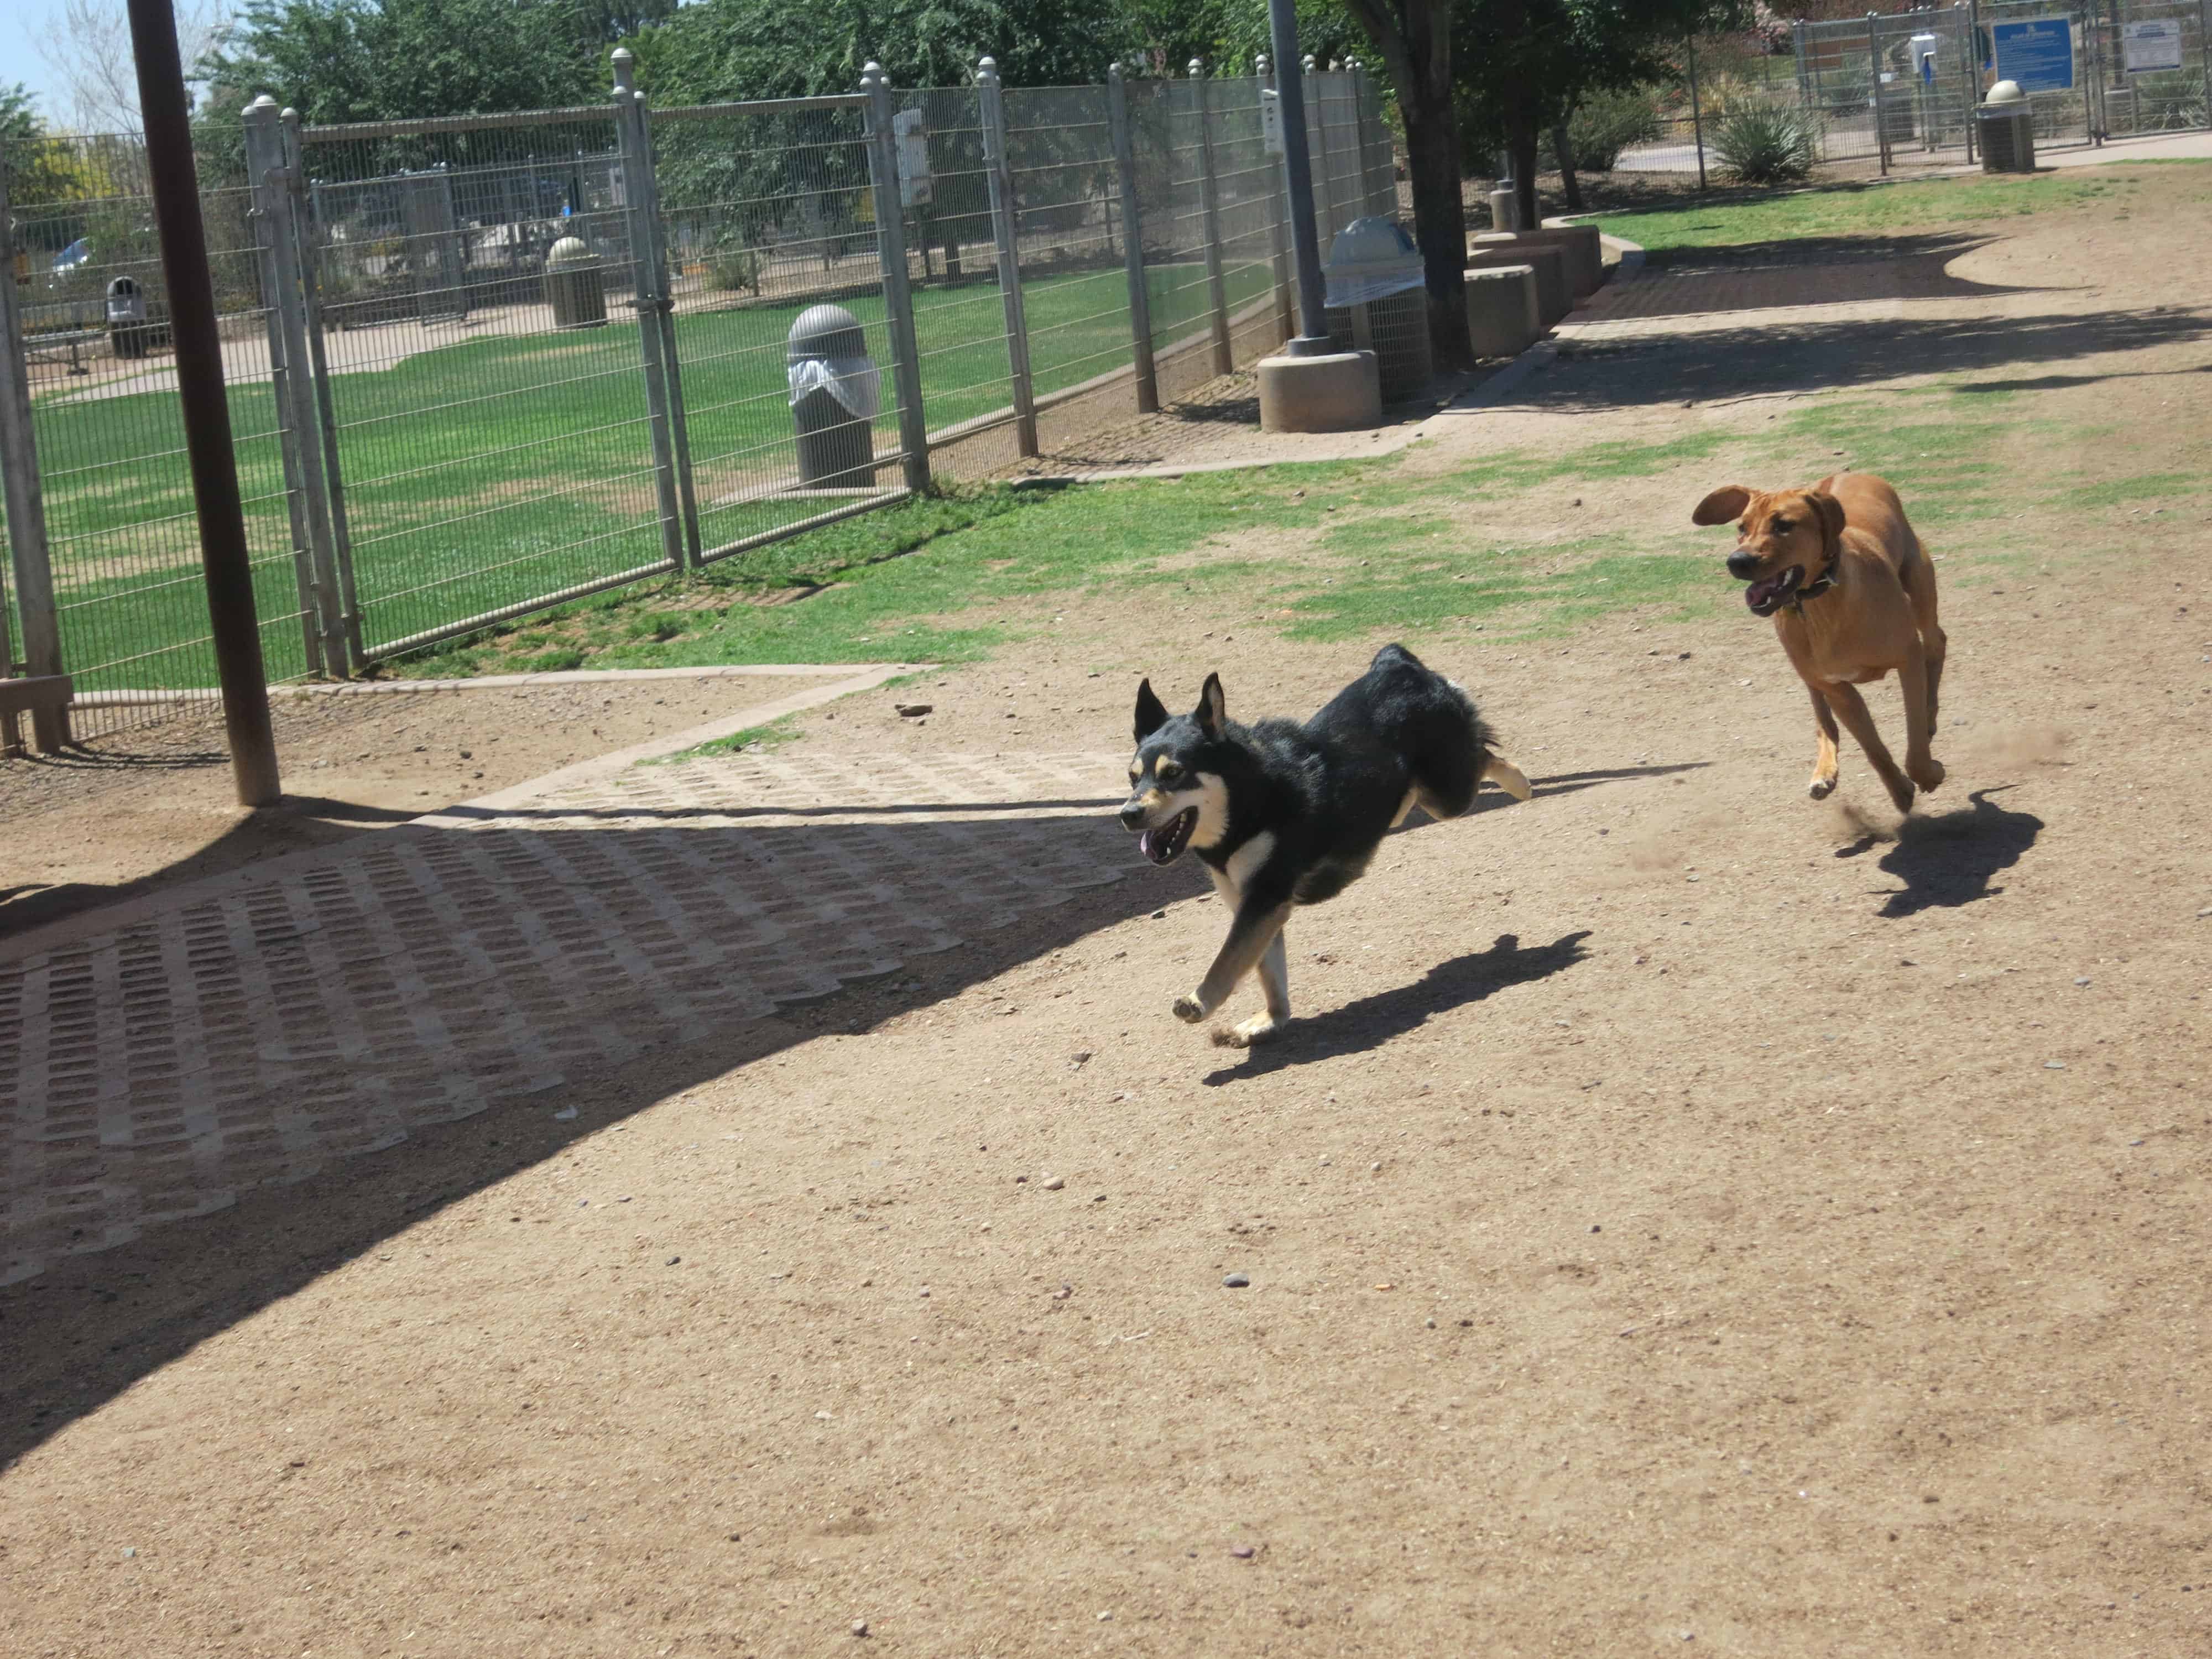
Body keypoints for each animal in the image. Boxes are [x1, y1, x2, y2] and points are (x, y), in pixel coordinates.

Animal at [1124, 641, 1522, 1044]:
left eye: (1174, 773)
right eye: (1133, 778)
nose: (1128, 814)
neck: (1250, 799)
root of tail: (1397, 663)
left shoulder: (1265, 899)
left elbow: (1228, 959)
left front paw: (1200, 1001)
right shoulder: (1255, 905)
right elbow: (1267, 970)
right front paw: (1270, 1020)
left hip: (1449, 796)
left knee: (1486, 755)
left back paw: (1520, 783)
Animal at [1699, 471, 1947, 814]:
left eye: (1784, 525)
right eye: (1742, 527)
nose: (1737, 561)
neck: (1821, 604)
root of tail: (1847, 473)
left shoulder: (1908, 658)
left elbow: (1915, 737)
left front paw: (1928, 772)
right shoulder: (1838, 689)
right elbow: (1872, 747)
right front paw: (1899, 789)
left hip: (1920, 585)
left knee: (1936, 644)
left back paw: (1931, 714)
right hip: (1809, 675)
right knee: (1823, 722)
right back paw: (1823, 774)